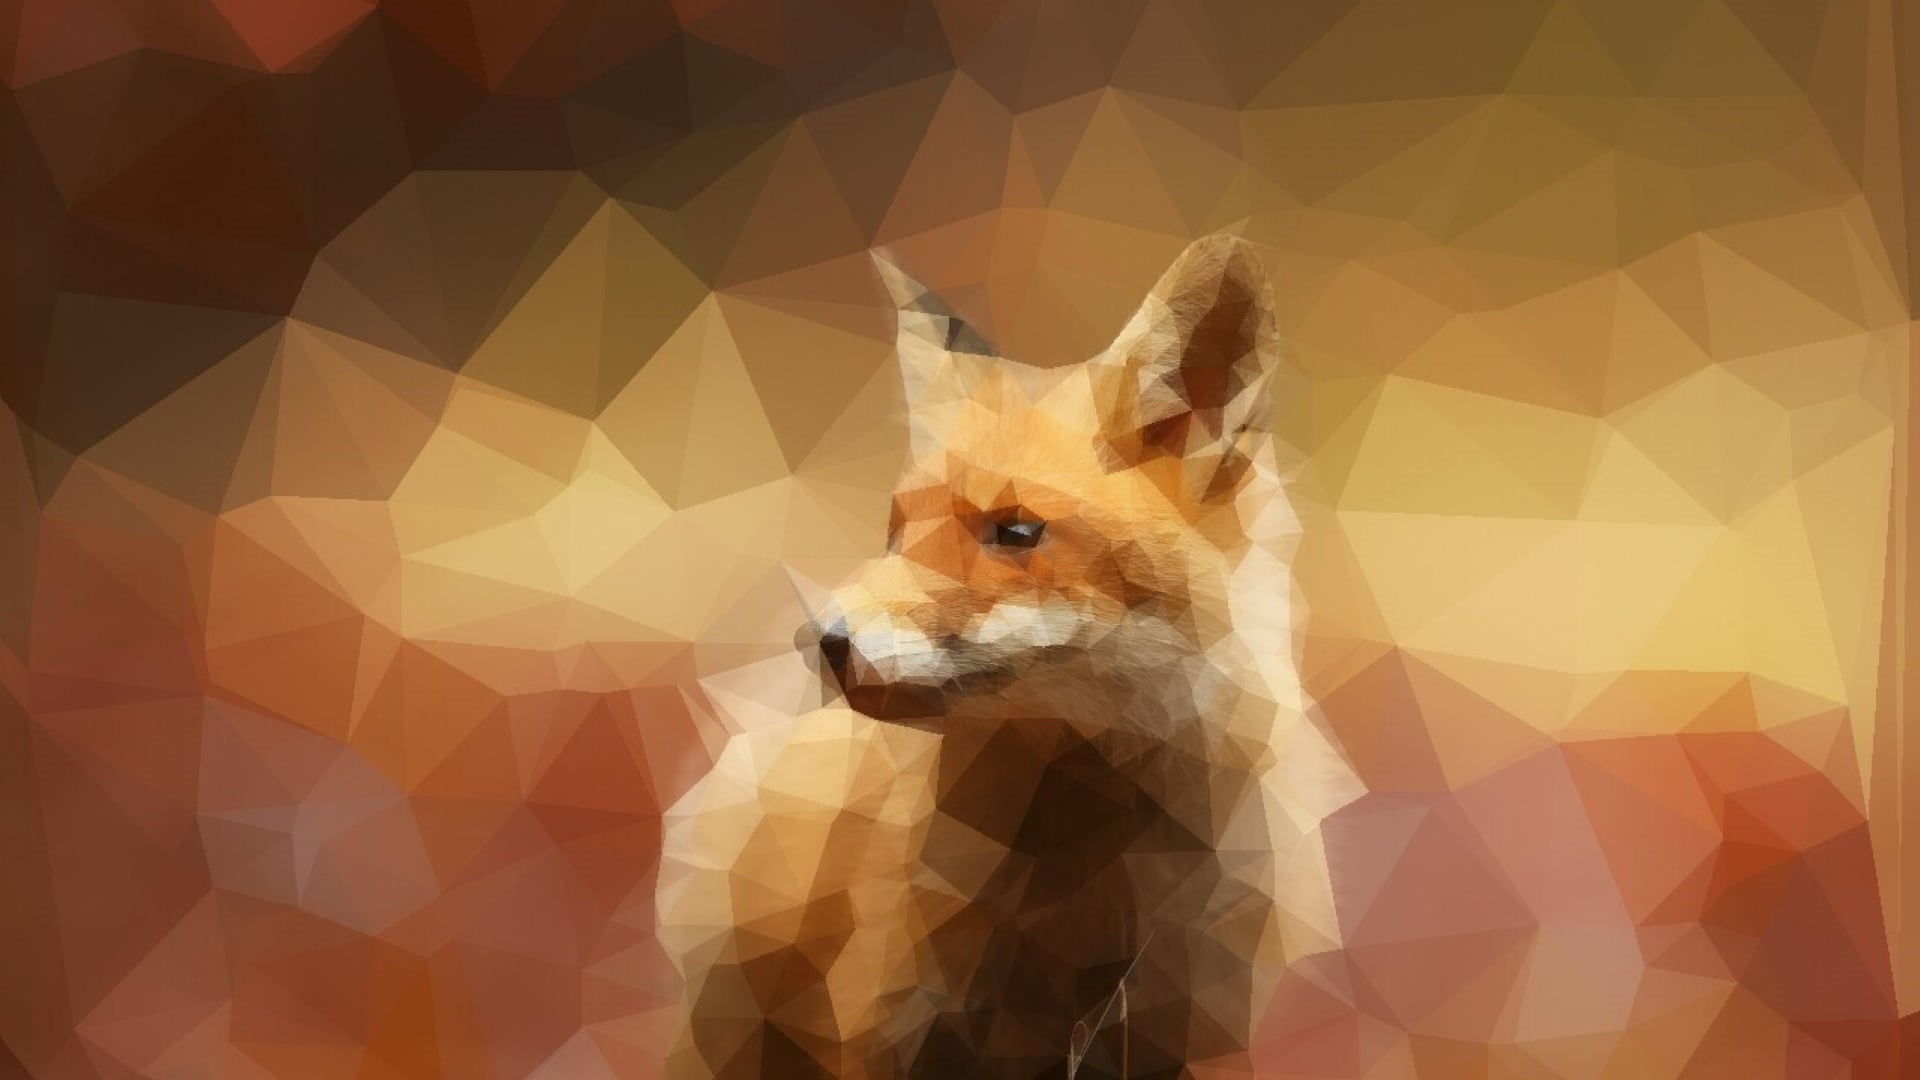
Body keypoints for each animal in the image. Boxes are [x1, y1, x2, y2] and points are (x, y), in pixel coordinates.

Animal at [661, 235, 1361, 1079]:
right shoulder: (886, 1027)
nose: (822, 642)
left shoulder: (1206, 1034)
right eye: (896, 531)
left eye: (1016, 533)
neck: (1092, 901)